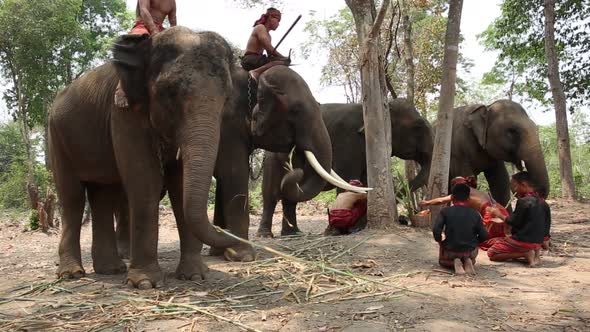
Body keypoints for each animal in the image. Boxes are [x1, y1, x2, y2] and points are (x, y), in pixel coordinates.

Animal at [49, 27, 245, 288]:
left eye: (226, 98)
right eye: (170, 92)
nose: (229, 237)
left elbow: (179, 184)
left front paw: (194, 276)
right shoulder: (122, 112)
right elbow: (144, 179)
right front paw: (146, 283)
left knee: (102, 194)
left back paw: (110, 270)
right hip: (57, 137)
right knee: (72, 197)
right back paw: (72, 275)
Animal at [260, 98, 434, 236]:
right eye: (418, 126)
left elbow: (364, 181)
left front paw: (355, 228)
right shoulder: (348, 142)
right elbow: (348, 179)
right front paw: (337, 231)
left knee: (289, 197)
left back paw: (293, 234)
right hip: (272, 158)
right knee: (270, 195)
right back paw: (266, 235)